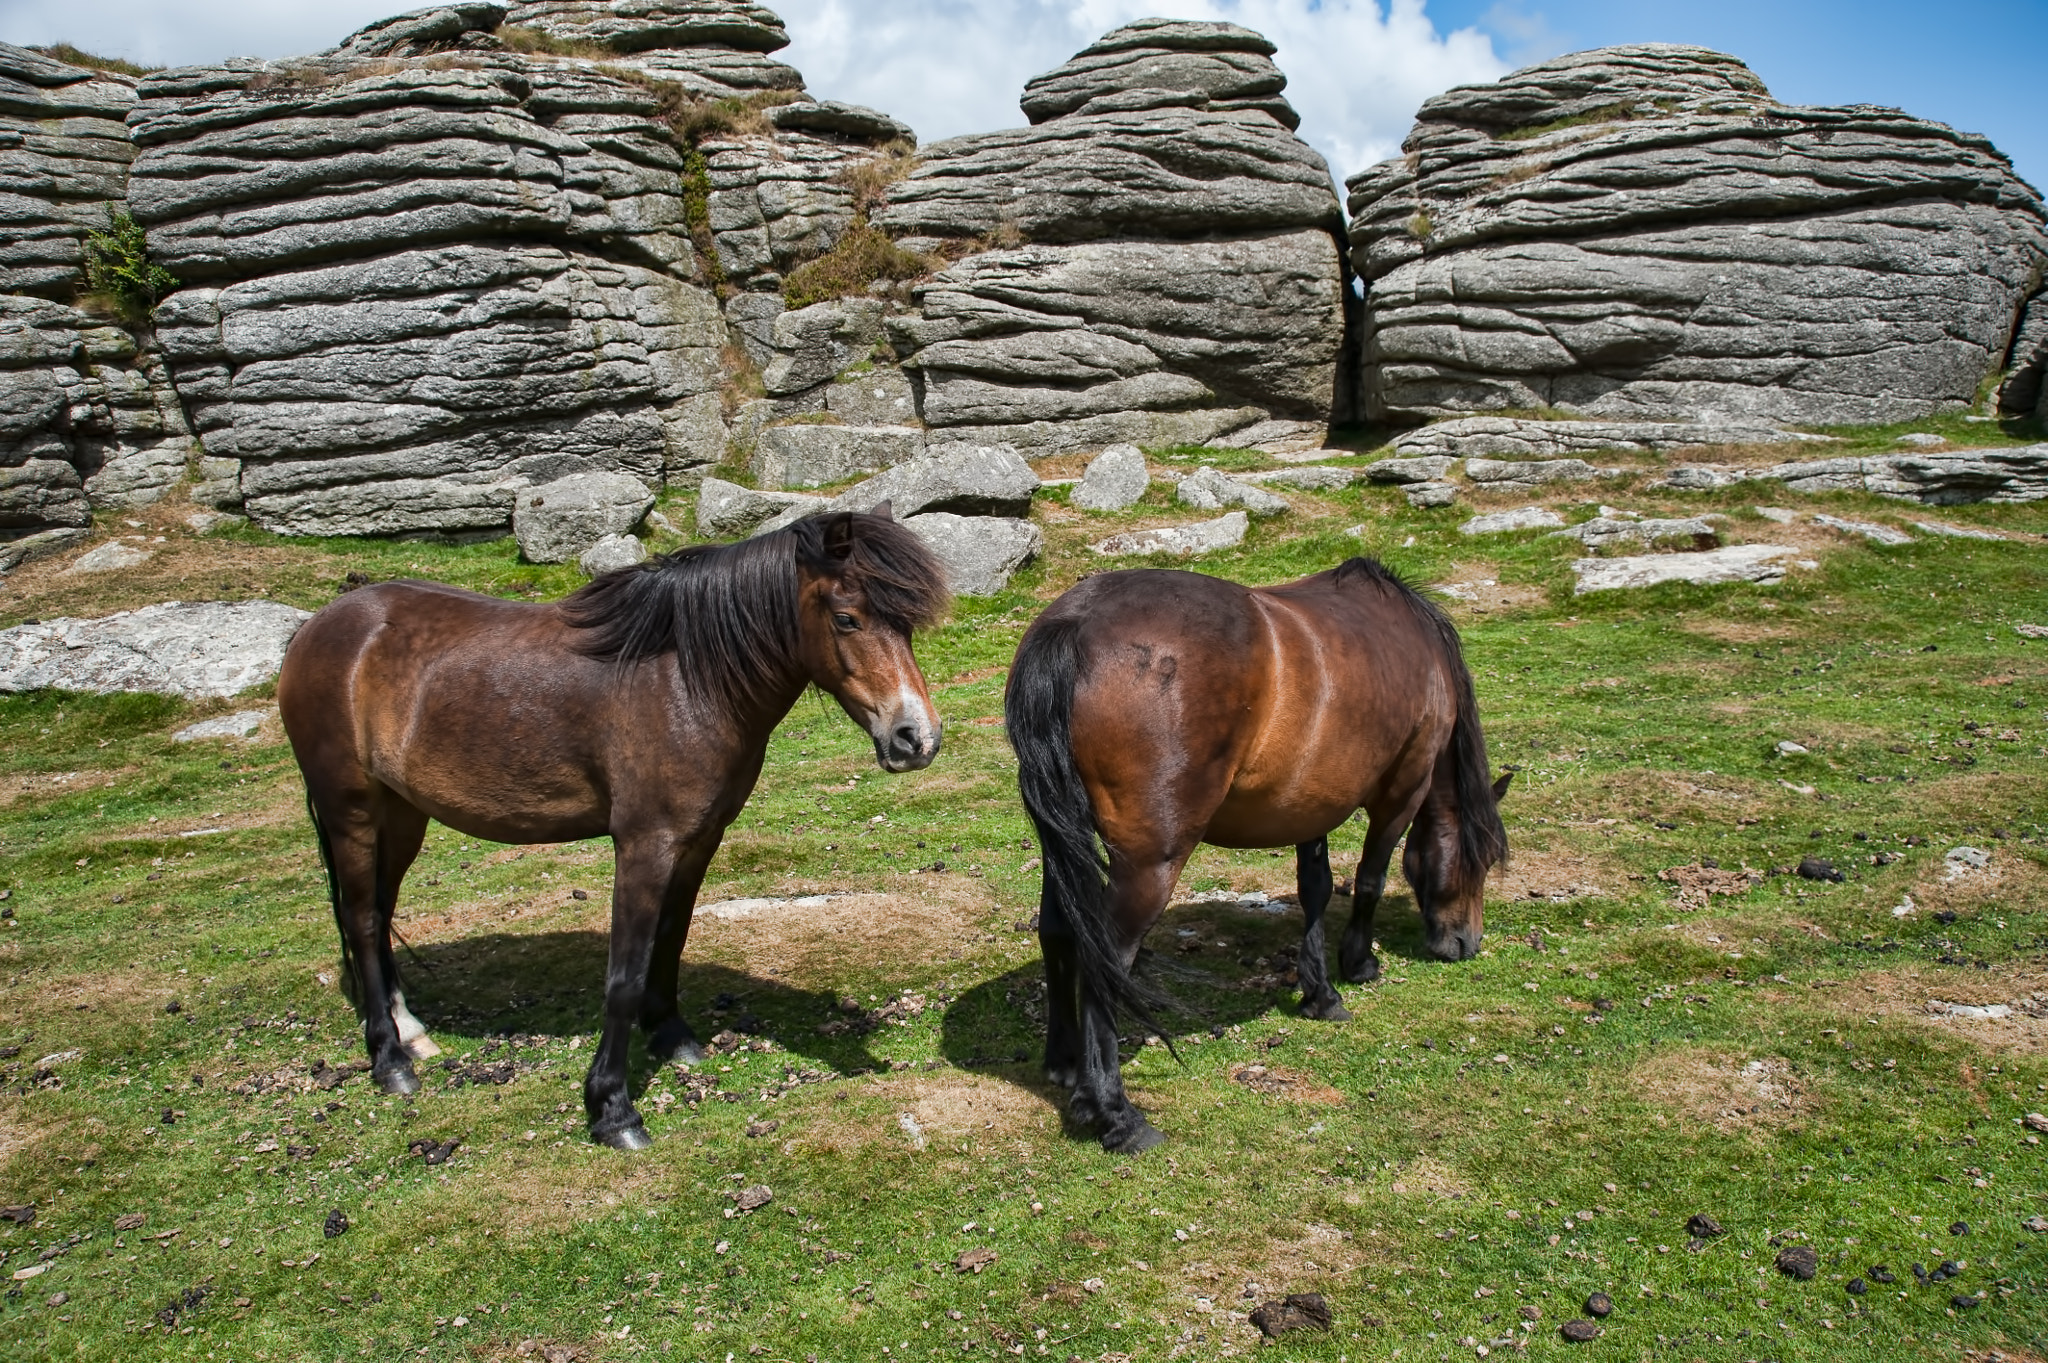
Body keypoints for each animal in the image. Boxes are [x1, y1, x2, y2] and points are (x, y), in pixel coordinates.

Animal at [278, 509, 949, 1150]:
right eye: (847, 618)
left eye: (906, 625)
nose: (916, 739)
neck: (683, 680)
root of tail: (320, 628)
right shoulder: (644, 845)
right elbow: (624, 975)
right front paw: (612, 1109)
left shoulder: (698, 840)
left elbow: (671, 941)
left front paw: (672, 1036)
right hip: (352, 811)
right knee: (362, 921)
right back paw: (390, 1061)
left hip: (402, 815)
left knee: (379, 913)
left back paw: (410, 1031)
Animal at [1005, 557, 1510, 1152]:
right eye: (1485, 860)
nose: (1466, 942)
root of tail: (1075, 623)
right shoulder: (1402, 790)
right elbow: (1370, 878)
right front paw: (1359, 963)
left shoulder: (1312, 802)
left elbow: (1315, 890)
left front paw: (1320, 991)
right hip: (1148, 865)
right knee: (1105, 957)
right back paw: (1116, 1114)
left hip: (1060, 842)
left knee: (1059, 930)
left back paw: (1064, 1062)